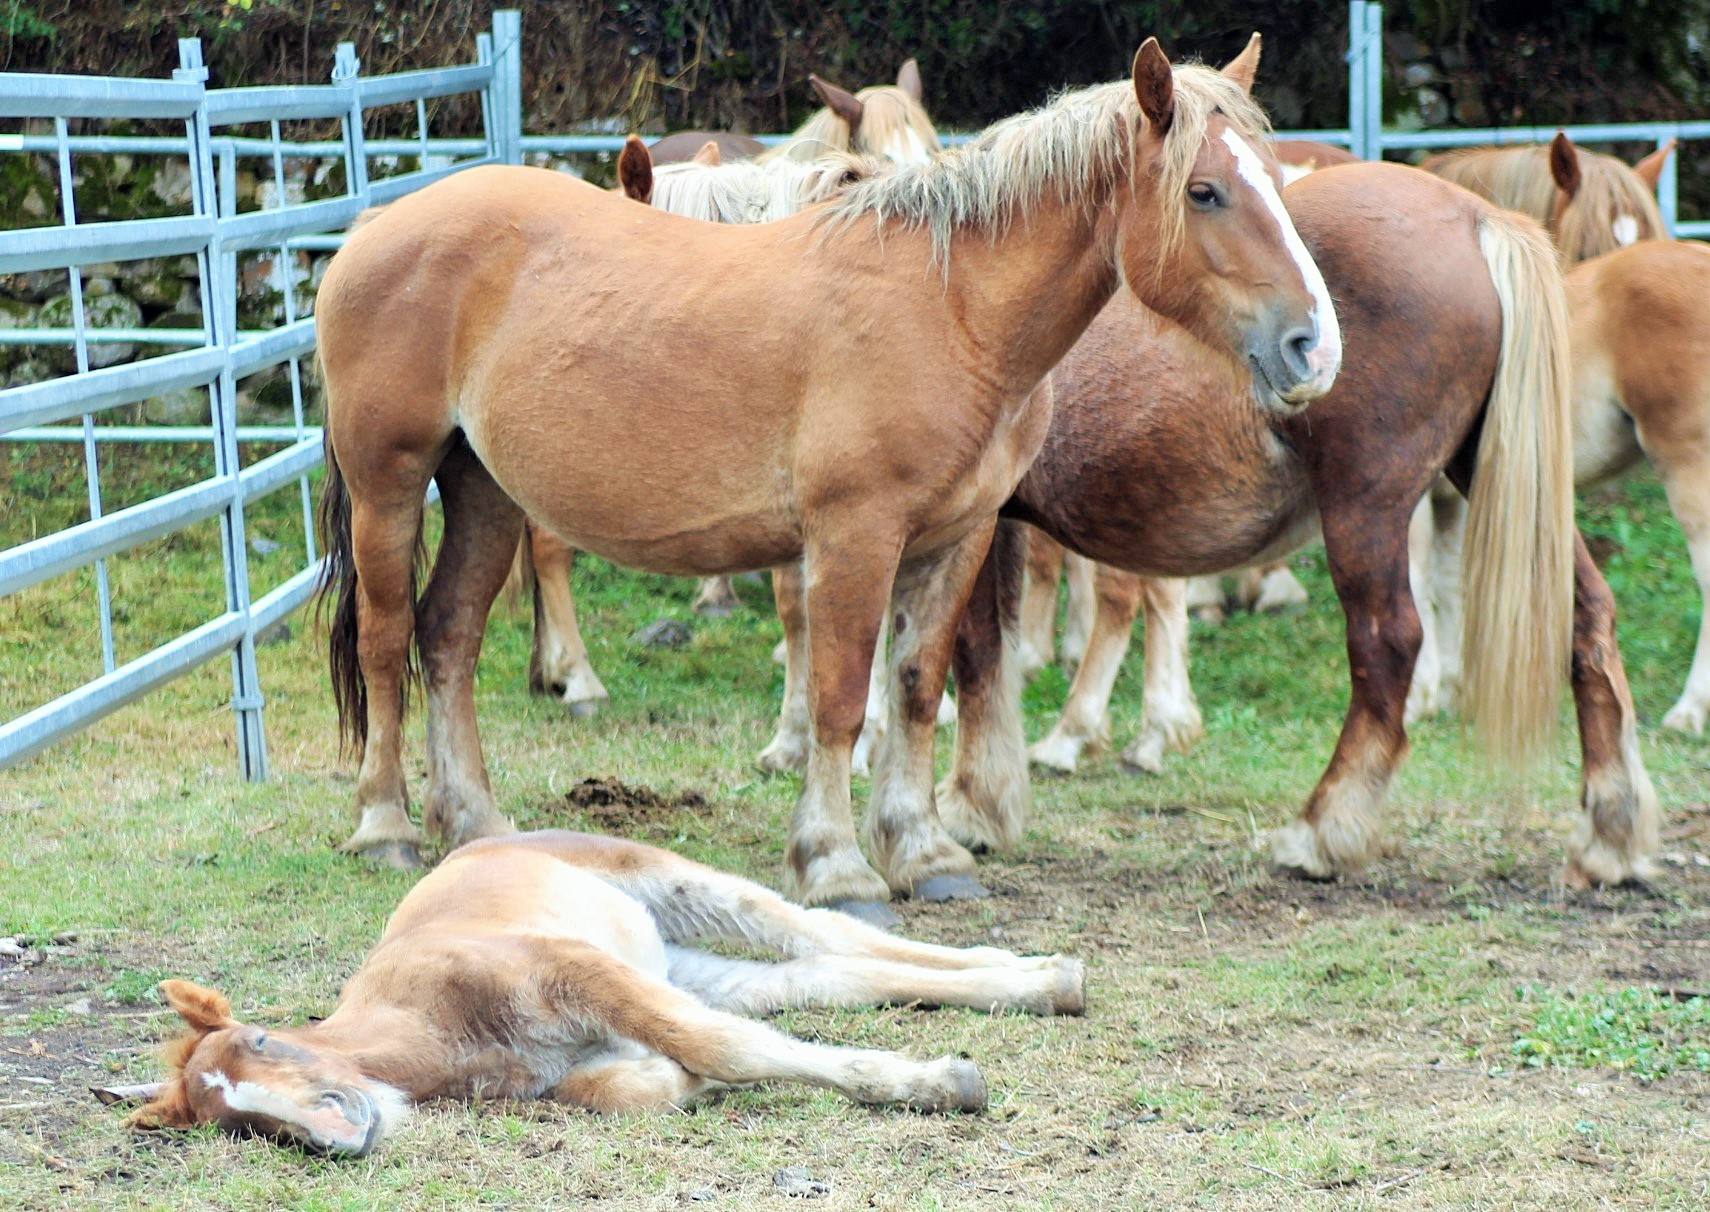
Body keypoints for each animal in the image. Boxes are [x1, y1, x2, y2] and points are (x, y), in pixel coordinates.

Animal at [123, 830, 1080, 1155]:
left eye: (264, 1042)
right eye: (241, 1125)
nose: (339, 1136)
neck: (440, 1028)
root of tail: (487, 840)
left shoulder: (580, 975)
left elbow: (719, 1046)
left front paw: (943, 1084)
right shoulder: (589, 1050)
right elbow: (650, 1079)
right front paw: (689, 1088)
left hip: (671, 885)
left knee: (821, 930)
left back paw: (1043, 972)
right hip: (681, 963)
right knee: (827, 974)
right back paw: (1041, 982)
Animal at [314, 37, 1340, 929]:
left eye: (1276, 178)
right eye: (1205, 190)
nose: (1314, 346)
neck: (950, 308)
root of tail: (374, 228)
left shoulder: (955, 537)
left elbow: (919, 688)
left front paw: (924, 852)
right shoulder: (855, 537)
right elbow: (842, 699)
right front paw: (838, 866)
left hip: (483, 490)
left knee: (449, 637)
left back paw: (479, 824)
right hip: (390, 487)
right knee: (388, 638)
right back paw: (387, 826)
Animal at [923, 160, 1655, 888]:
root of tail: (1476, 217)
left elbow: (974, 650)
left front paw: (970, 807)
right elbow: (989, 651)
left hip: (1367, 505)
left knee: (1390, 642)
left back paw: (1324, 831)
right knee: (1587, 618)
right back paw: (1611, 835)